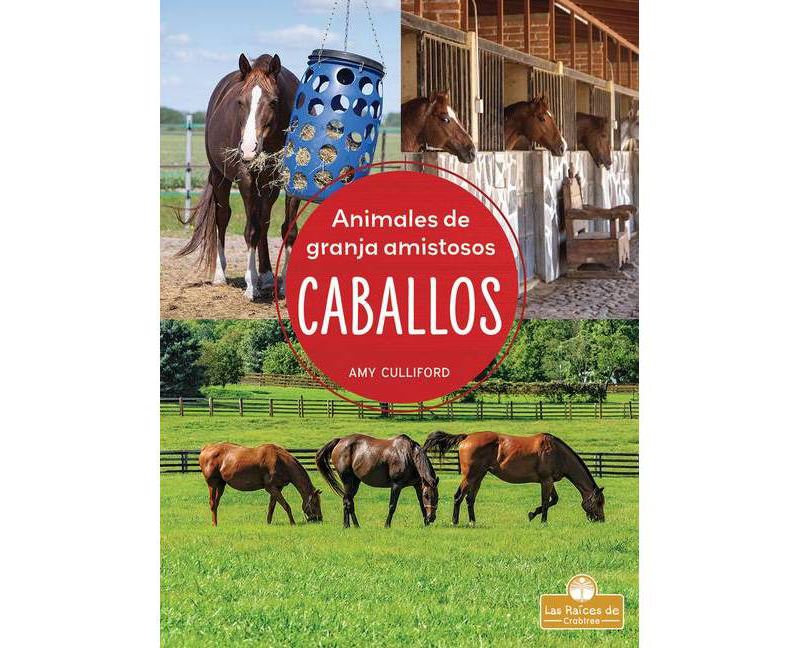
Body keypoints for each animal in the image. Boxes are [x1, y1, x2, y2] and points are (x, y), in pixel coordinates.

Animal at [177, 53, 301, 300]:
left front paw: (281, 284)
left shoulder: (290, 181)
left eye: (273, 102)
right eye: (240, 102)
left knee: (264, 222)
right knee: (223, 218)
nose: (249, 149)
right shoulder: (246, 180)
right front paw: (250, 286)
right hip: (220, 178)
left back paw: (266, 276)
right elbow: (250, 231)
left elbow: (287, 230)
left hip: (268, 187)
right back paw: (221, 275)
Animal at [423, 431, 605, 525]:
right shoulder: (546, 481)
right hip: (470, 476)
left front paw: (533, 514)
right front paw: (542, 520)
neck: (557, 452)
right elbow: (546, 501)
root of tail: (466, 437)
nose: (601, 520)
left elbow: (553, 500)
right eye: (599, 502)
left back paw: (472, 522)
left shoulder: (549, 481)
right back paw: (455, 521)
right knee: (459, 497)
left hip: (478, 476)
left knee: (470, 499)